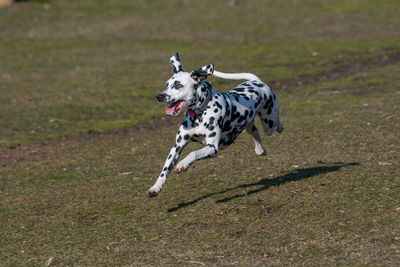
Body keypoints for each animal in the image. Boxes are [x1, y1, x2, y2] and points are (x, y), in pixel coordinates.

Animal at [147, 52, 284, 199]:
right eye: (167, 84)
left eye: (178, 85)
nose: (159, 96)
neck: (200, 114)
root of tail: (256, 81)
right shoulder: (177, 146)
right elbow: (164, 170)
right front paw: (155, 187)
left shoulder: (212, 148)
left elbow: (193, 153)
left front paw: (182, 164)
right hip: (249, 124)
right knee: (255, 131)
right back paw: (260, 150)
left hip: (269, 122)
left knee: (276, 124)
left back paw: (280, 127)